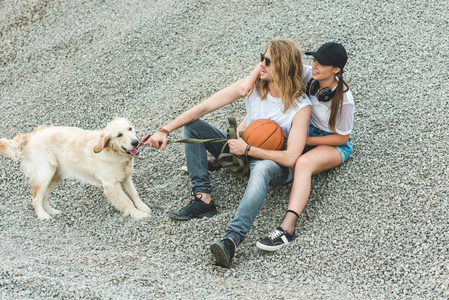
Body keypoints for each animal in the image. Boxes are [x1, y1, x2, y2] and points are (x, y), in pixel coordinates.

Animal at [0, 118, 150, 220]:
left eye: (130, 129)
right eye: (119, 135)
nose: (135, 142)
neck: (114, 153)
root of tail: (29, 136)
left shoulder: (126, 177)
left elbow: (134, 194)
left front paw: (143, 207)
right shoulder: (111, 185)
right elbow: (126, 201)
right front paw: (137, 214)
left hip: (55, 176)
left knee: (44, 197)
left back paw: (52, 211)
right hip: (45, 174)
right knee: (36, 198)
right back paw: (43, 215)